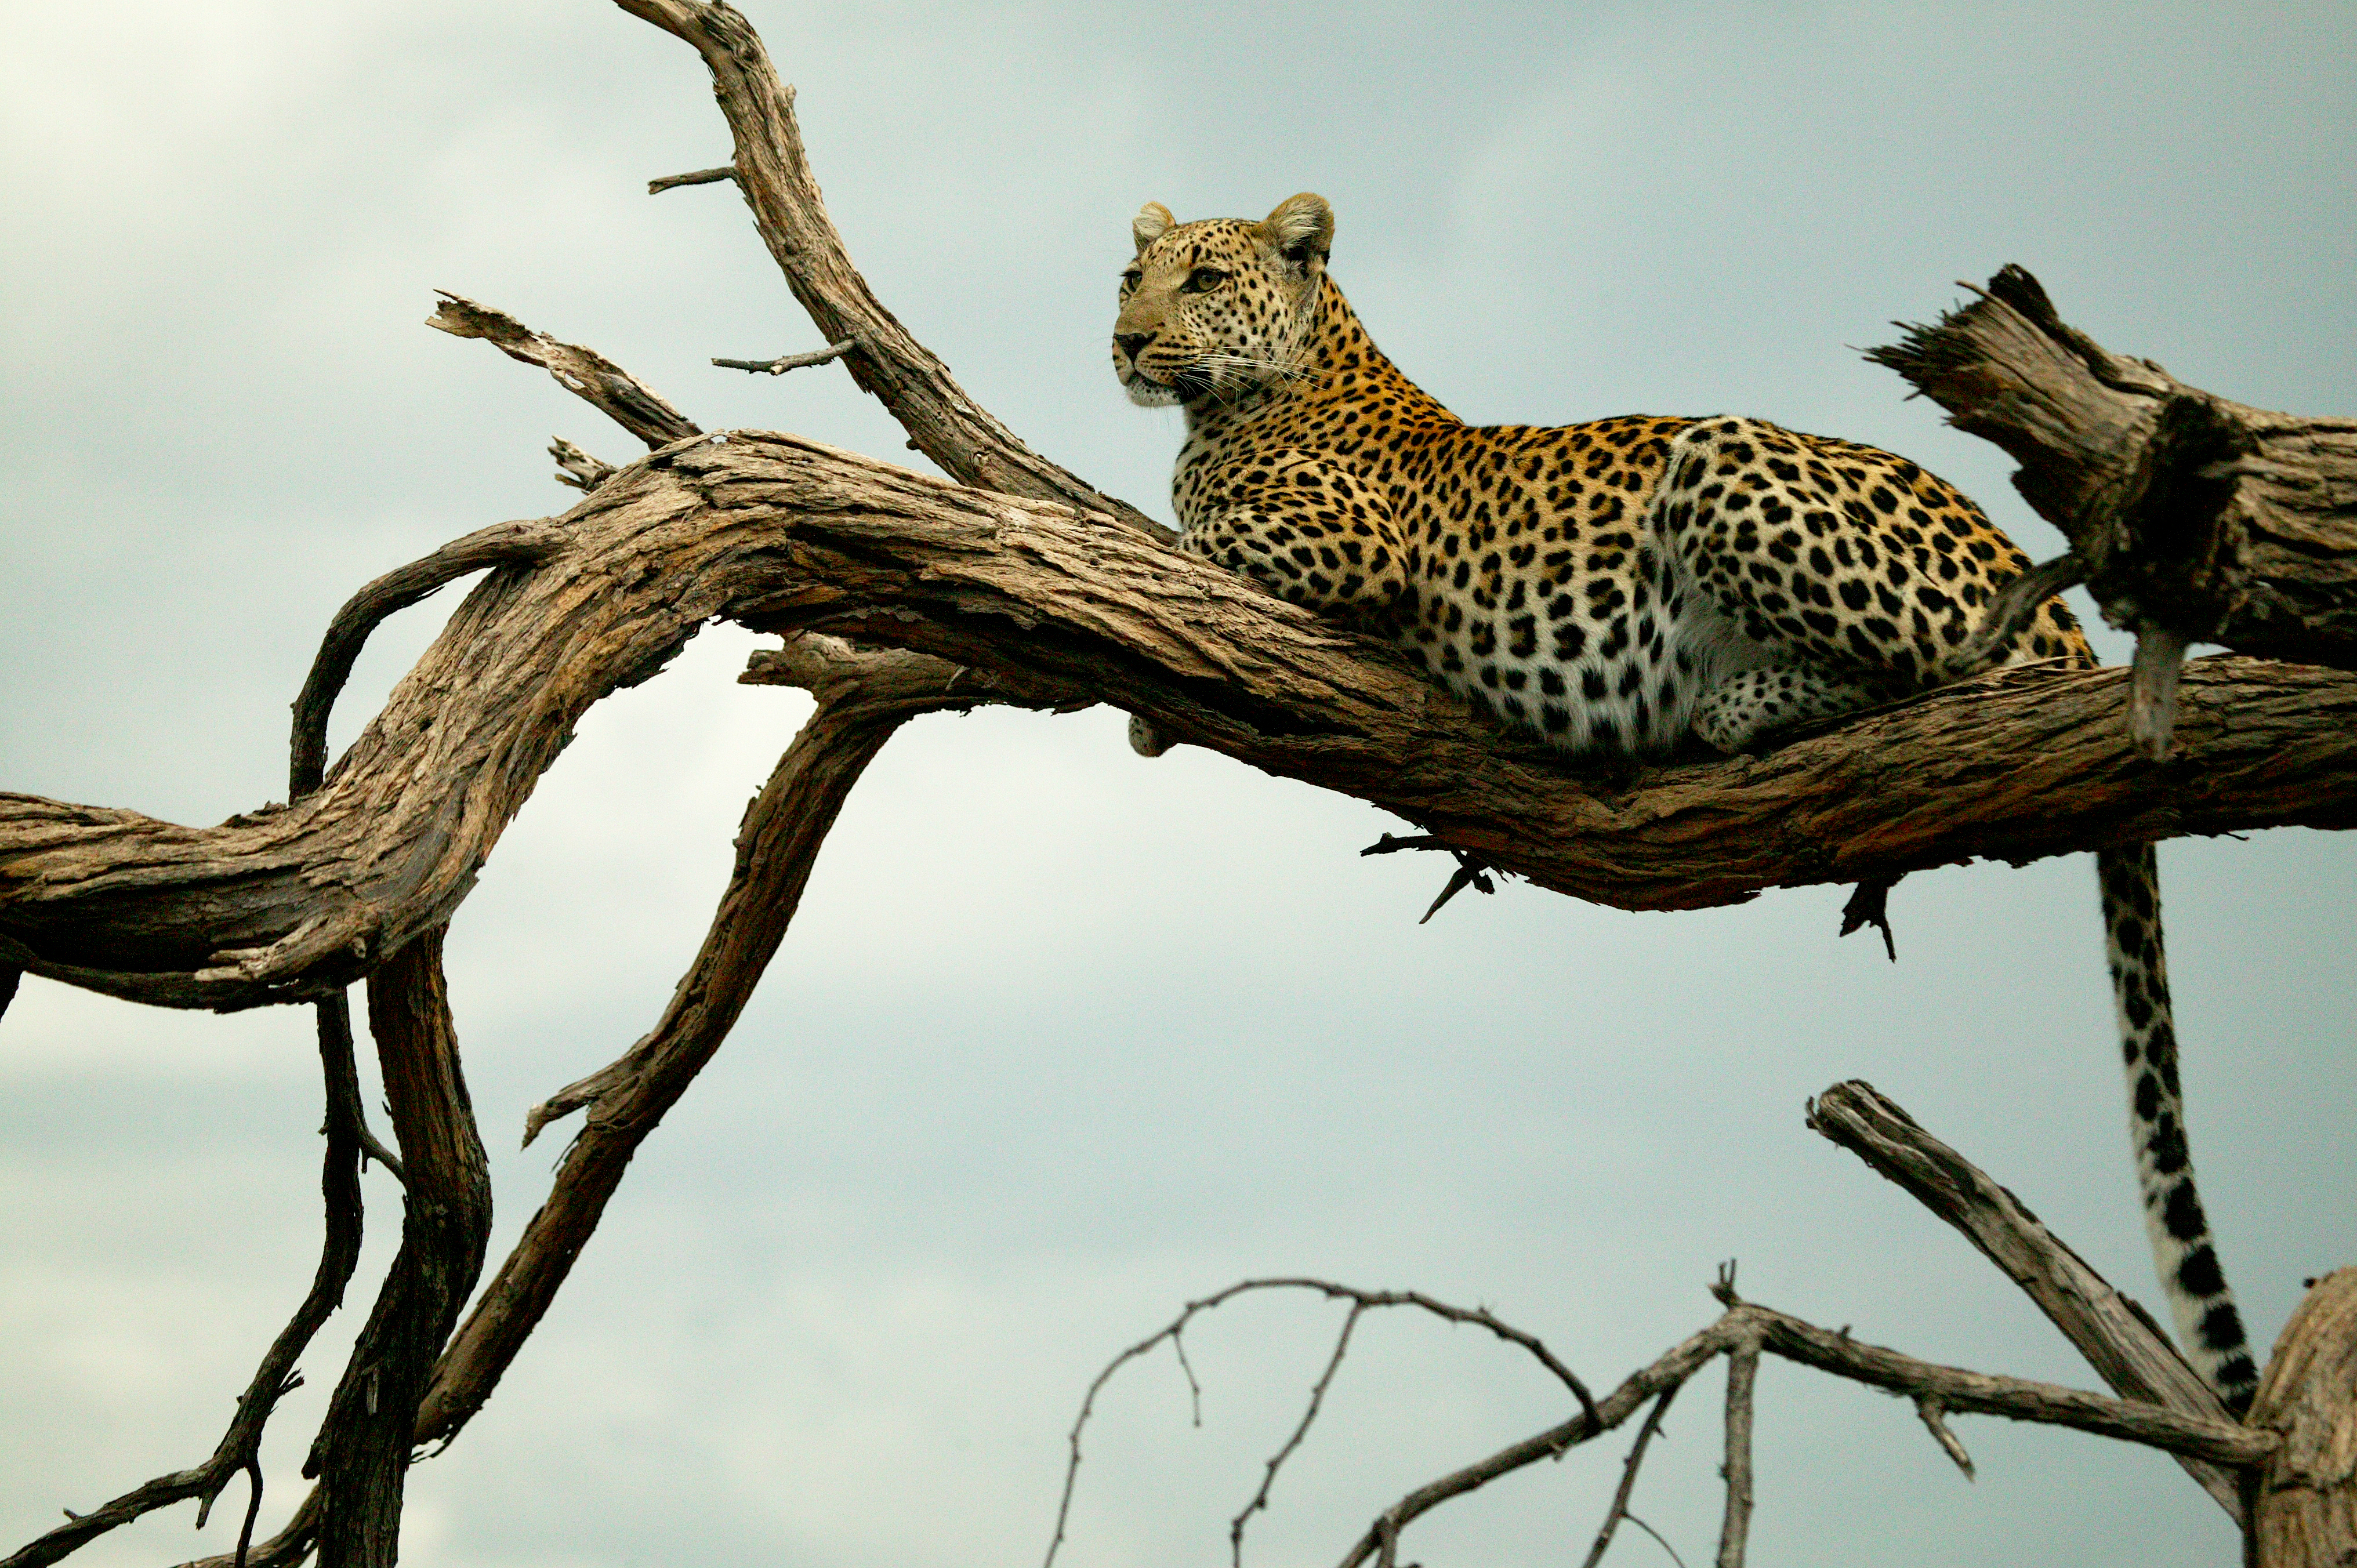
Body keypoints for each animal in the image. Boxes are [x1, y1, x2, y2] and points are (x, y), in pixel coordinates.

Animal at [1111, 191, 2258, 1414]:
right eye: (1130, 277)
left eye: (1199, 281)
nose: (1125, 342)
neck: (1243, 399)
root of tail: (2047, 591)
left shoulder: (1351, 543)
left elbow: (1193, 533)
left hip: (1725, 458)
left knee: (1956, 668)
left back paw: (1730, 701)